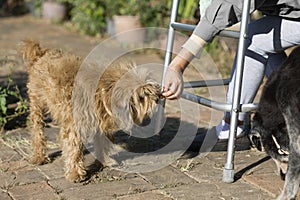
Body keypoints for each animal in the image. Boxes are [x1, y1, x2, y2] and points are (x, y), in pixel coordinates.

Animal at [19, 39, 161, 183]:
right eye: (142, 96)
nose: (158, 96)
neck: (101, 92)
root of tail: (42, 54)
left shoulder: (100, 123)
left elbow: (102, 143)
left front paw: (104, 161)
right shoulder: (74, 125)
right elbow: (74, 147)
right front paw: (75, 173)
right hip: (37, 104)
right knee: (37, 130)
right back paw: (39, 156)